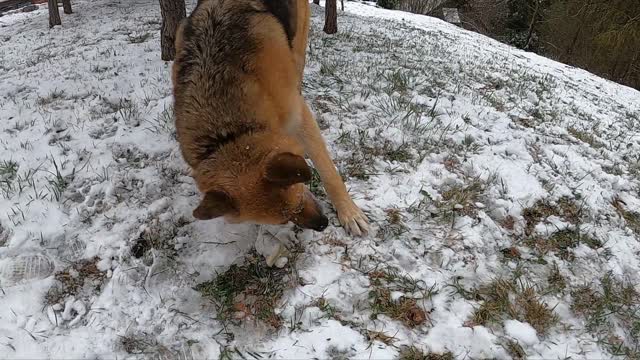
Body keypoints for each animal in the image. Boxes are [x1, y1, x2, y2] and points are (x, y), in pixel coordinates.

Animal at [172, 0, 368, 236]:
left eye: (299, 194)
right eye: (283, 221)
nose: (322, 225)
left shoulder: (299, 117)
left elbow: (328, 171)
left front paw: (349, 212)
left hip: (298, 43)